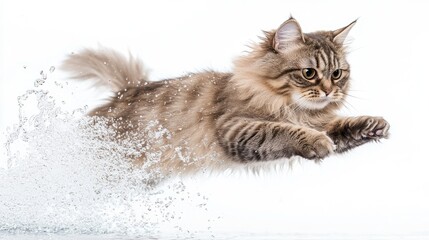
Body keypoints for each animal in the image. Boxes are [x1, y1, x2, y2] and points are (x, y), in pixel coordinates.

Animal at [62, 17, 388, 174]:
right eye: (309, 73)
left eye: (338, 73)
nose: (330, 91)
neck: (291, 107)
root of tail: (127, 90)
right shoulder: (234, 126)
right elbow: (282, 131)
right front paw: (317, 142)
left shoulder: (316, 119)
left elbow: (338, 127)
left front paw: (373, 125)